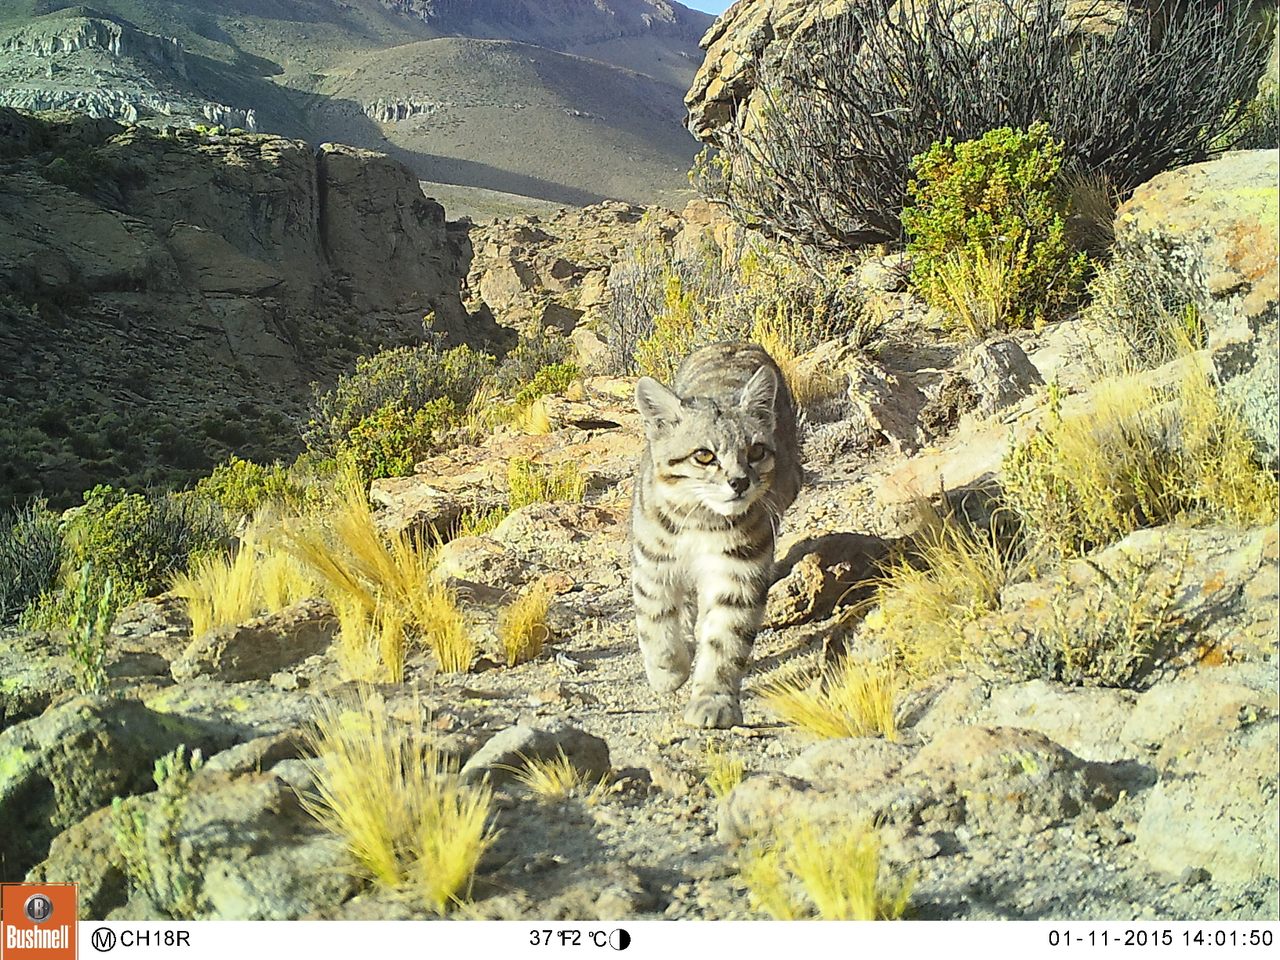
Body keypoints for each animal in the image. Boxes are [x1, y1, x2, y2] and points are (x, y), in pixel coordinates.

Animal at [629, 343, 798, 727]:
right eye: (704, 456)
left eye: (756, 451)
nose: (740, 482)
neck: (701, 522)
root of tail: (733, 342)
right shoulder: (653, 563)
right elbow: (654, 620)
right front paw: (668, 670)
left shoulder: (740, 571)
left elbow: (726, 639)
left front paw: (713, 700)